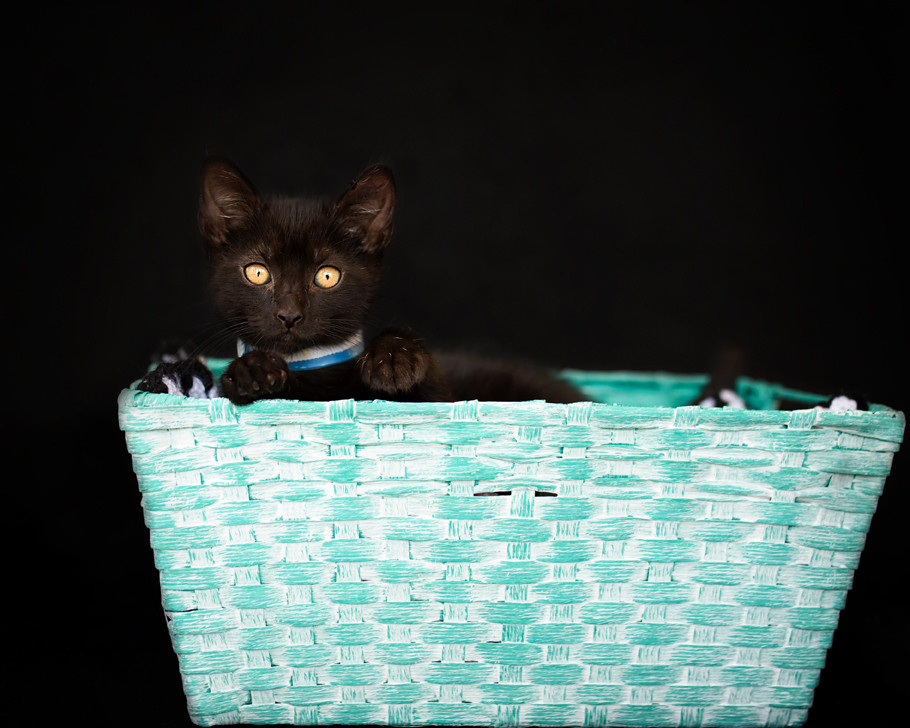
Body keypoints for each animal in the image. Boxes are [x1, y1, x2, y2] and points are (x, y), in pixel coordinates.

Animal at [196, 157, 586, 406]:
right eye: (257, 272)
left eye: (327, 276)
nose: (289, 315)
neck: (307, 370)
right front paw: (252, 370)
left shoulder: (442, 401)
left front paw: (395, 355)